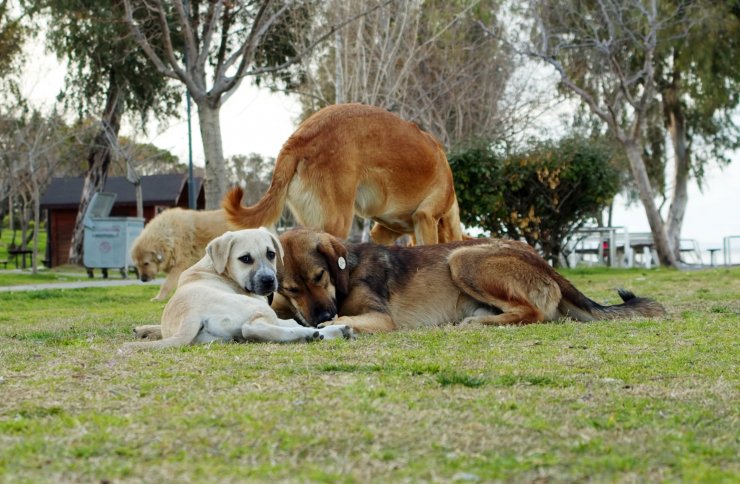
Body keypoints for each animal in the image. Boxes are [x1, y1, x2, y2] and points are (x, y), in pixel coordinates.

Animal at [122, 227, 352, 348]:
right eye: (245, 258)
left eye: (271, 254)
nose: (269, 281)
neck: (216, 268)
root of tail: (190, 315)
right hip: (255, 309)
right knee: (255, 328)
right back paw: (325, 332)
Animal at [270, 228, 664, 332]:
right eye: (291, 289)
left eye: (321, 276)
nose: (321, 317)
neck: (346, 273)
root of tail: (547, 265)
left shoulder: (380, 317)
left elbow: (353, 317)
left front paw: (336, 323)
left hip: (462, 259)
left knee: (534, 313)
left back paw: (479, 322)